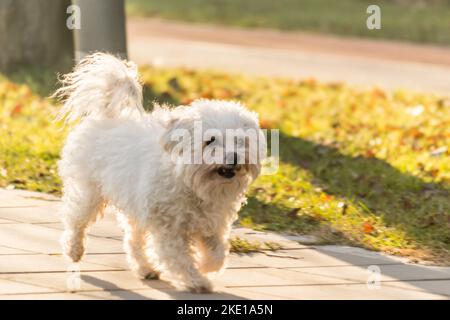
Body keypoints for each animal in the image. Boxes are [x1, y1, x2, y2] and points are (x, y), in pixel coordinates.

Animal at [52, 53, 264, 292]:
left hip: (135, 206)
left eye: (239, 141)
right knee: (76, 219)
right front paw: (198, 281)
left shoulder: (212, 224)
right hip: (89, 191)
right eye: (210, 140)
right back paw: (73, 249)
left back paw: (145, 268)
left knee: (133, 241)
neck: (191, 184)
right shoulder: (169, 230)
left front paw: (206, 265)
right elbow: (179, 259)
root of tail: (106, 114)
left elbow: (217, 253)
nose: (234, 157)